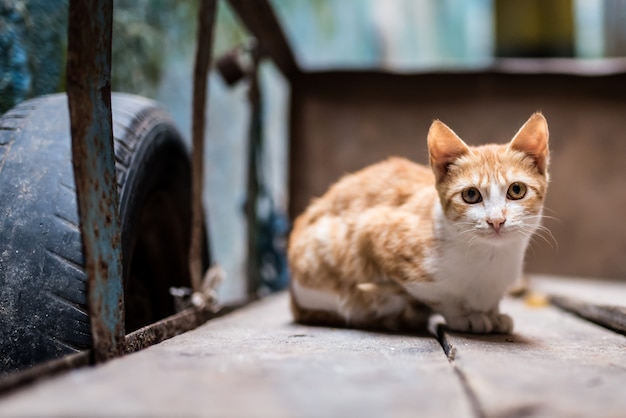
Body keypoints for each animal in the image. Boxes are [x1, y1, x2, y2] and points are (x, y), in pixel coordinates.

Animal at [288, 112, 544, 334]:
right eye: (471, 195)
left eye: (516, 190)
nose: (496, 220)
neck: (491, 260)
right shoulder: (372, 231)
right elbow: (440, 296)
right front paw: (464, 316)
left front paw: (493, 313)